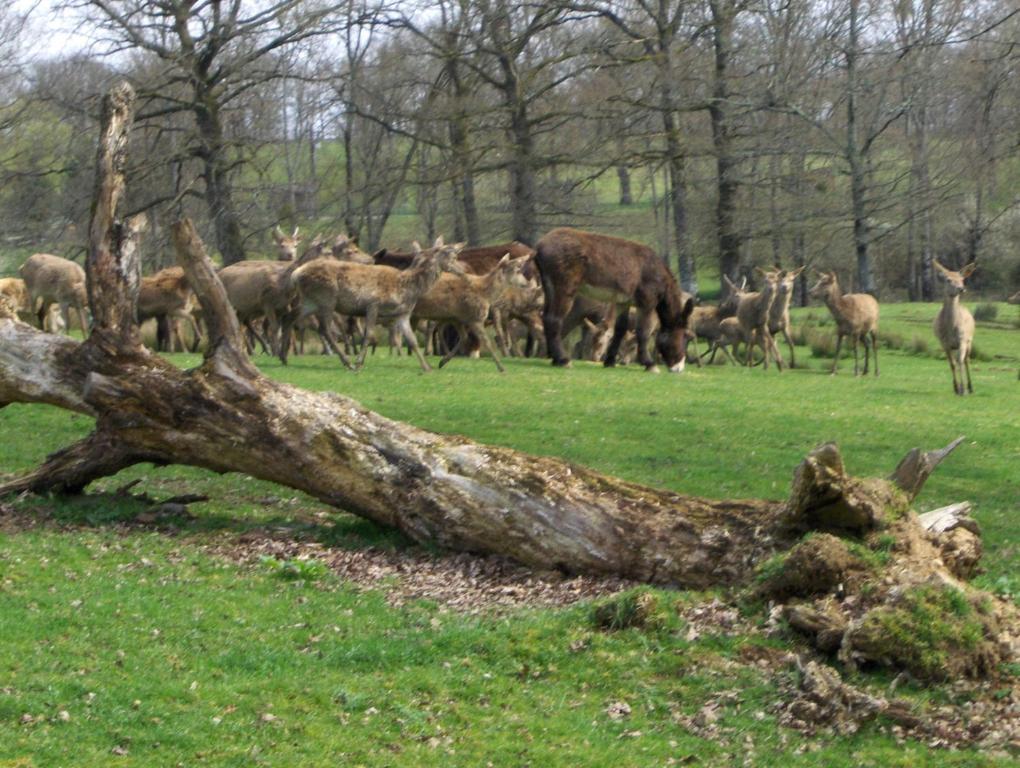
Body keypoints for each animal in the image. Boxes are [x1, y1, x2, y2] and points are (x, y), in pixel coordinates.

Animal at [283, 239, 467, 371]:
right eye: (454, 256)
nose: (464, 270)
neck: (407, 289)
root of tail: (295, 274)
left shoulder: (403, 314)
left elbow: (412, 340)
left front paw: (428, 367)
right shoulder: (373, 305)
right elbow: (368, 335)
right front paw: (359, 363)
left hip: (310, 301)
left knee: (290, 317)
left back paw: (283, 356)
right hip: (326, 299)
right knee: (325, 329)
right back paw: (348, 362)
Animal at [534, 226, 693, 373]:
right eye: (684, 335)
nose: (679, 369)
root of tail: (541, 244)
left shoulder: (623, 302)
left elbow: (620, 330)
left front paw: (610, 361)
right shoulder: (647, 303)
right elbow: (643, 332)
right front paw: (649, 364)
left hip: (550, 288)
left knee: (546, 317)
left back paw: (555, 359)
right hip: (564, 288)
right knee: (554, 319)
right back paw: (563, 360)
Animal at [934, 263, 979, 395]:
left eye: (962, 279)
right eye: (948, 280)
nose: (961, 288)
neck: (951, 328)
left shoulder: (962, 339)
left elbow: (960, 362)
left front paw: (963, 389)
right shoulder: (944, 343)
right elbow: (952, 364)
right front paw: (956, 388)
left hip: (970, 340)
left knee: (967, 360)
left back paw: (970, 387)